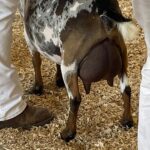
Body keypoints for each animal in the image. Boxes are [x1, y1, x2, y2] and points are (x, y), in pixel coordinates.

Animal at [19, 0, 138, 142]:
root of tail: (102, 10)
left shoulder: (30, 40)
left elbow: (36, 62)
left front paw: (37, 88)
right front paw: (58, 80)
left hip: (70, 62)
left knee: (75, 98)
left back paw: (68, 133)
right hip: (122, 55)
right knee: (126, 89)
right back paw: (127, 121)